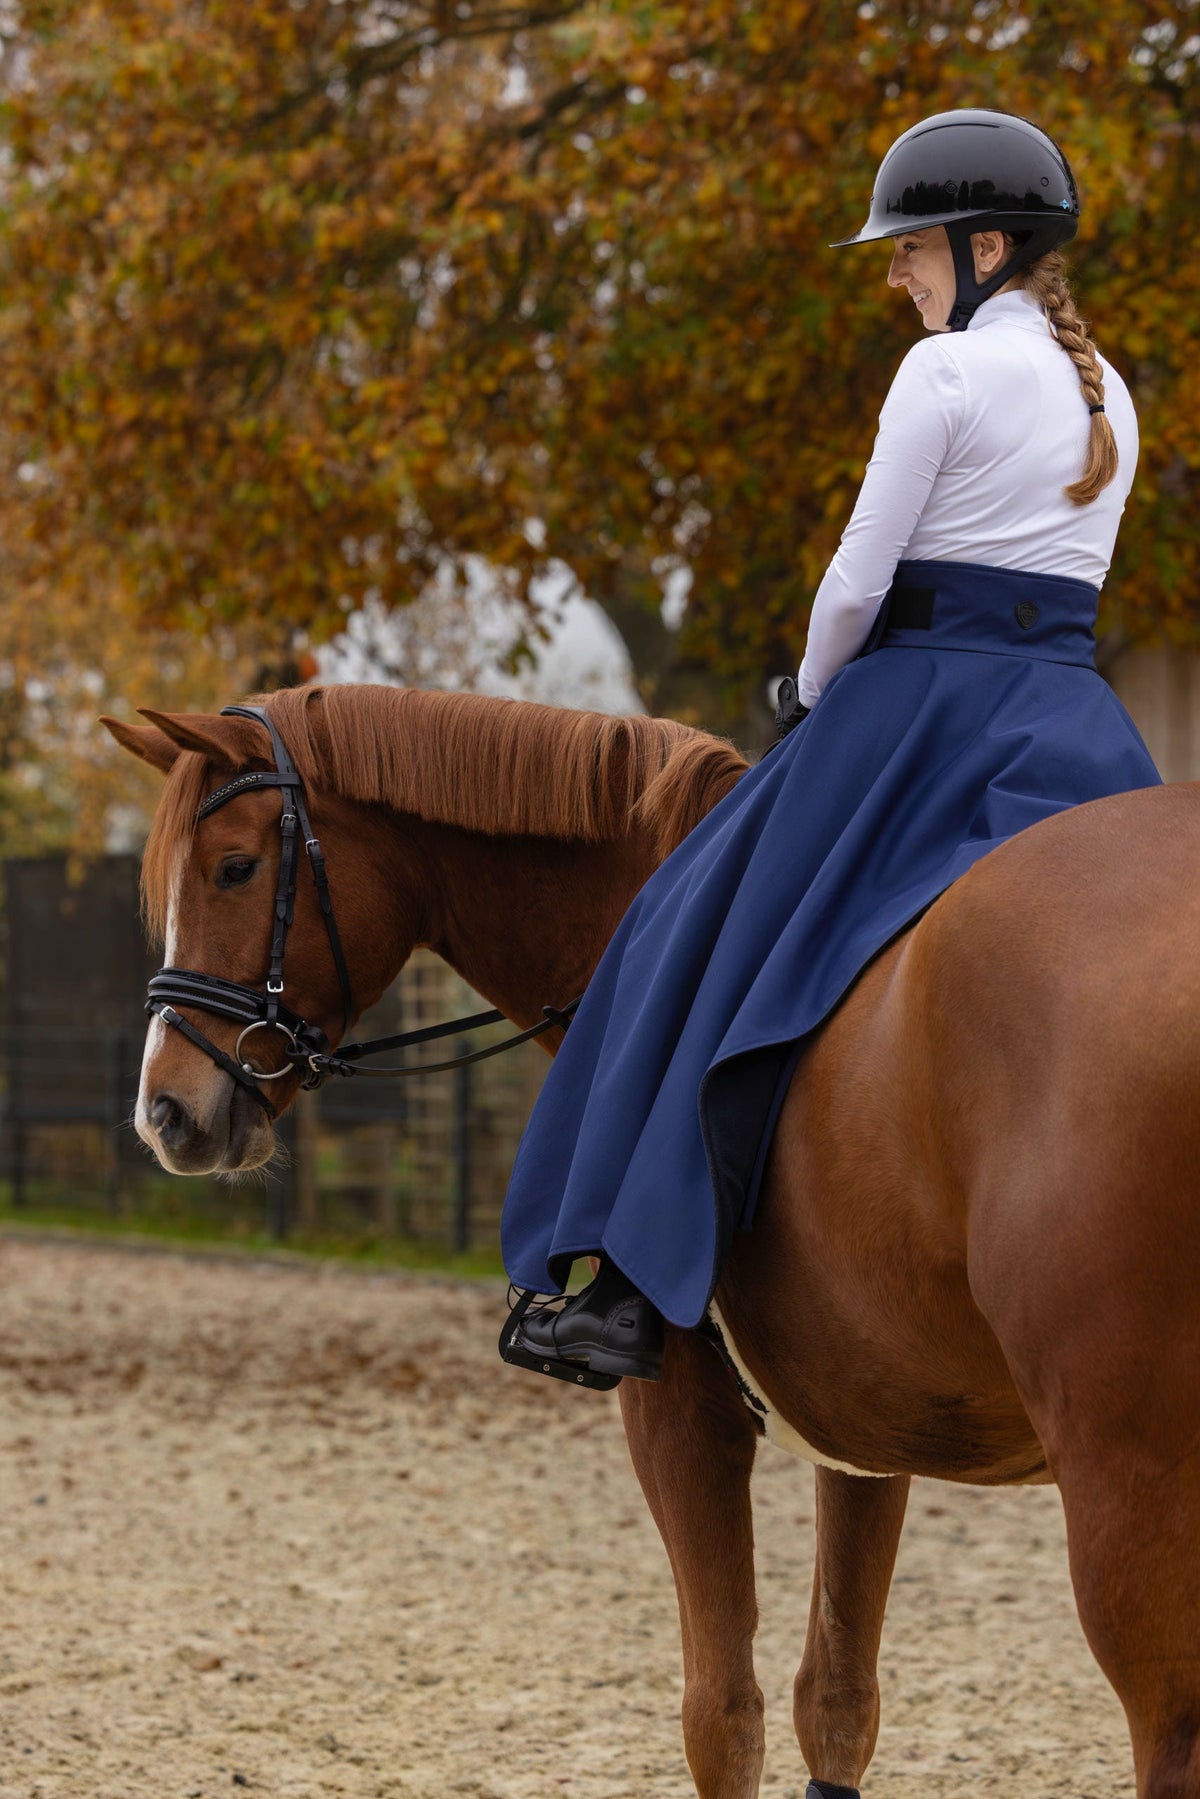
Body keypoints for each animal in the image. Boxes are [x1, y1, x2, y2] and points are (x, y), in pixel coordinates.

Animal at [103, 681, 1200, 1799]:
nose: (167, 1114)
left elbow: (721, 1715)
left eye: (235, 866)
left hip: (1130, 1483)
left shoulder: (679, 1411)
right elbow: (837, 1699)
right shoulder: (868, 1423)